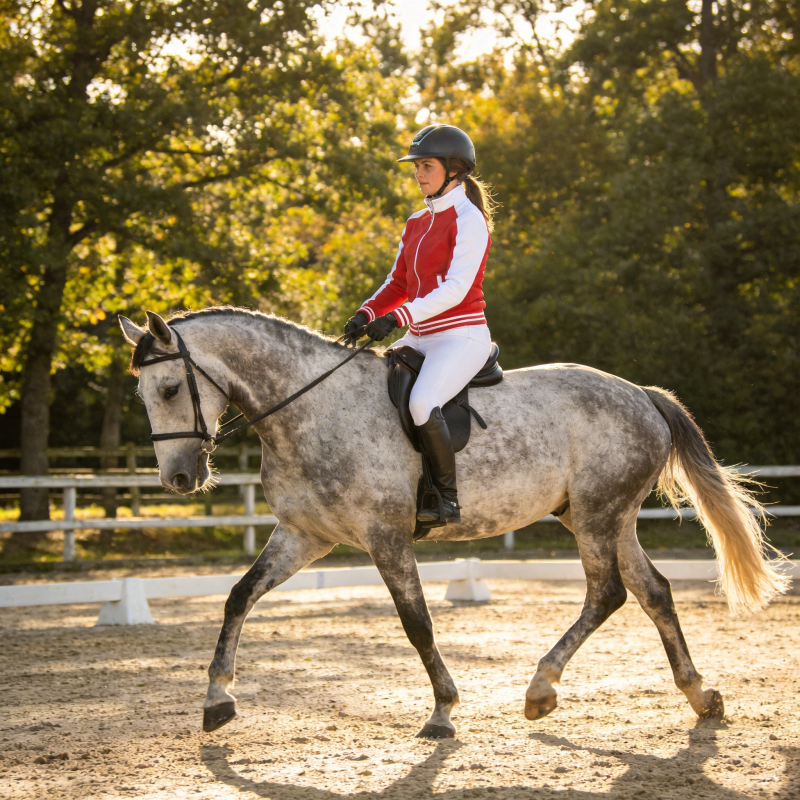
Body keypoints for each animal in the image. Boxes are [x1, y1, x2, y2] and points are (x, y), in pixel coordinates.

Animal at [118, 306, 788, 739]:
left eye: (172, 387)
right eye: (143, 395)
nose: (178, 479)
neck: (309, 410)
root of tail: (642, 394)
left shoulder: (386, 539)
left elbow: (417, 624)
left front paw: (443, 711)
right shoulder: (304, 536)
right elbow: (238, 596)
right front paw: (217, 698)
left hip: (600, 517)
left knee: (608, 594)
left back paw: (541, 689)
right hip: (602, 517)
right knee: (654, 592)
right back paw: (701, 697)